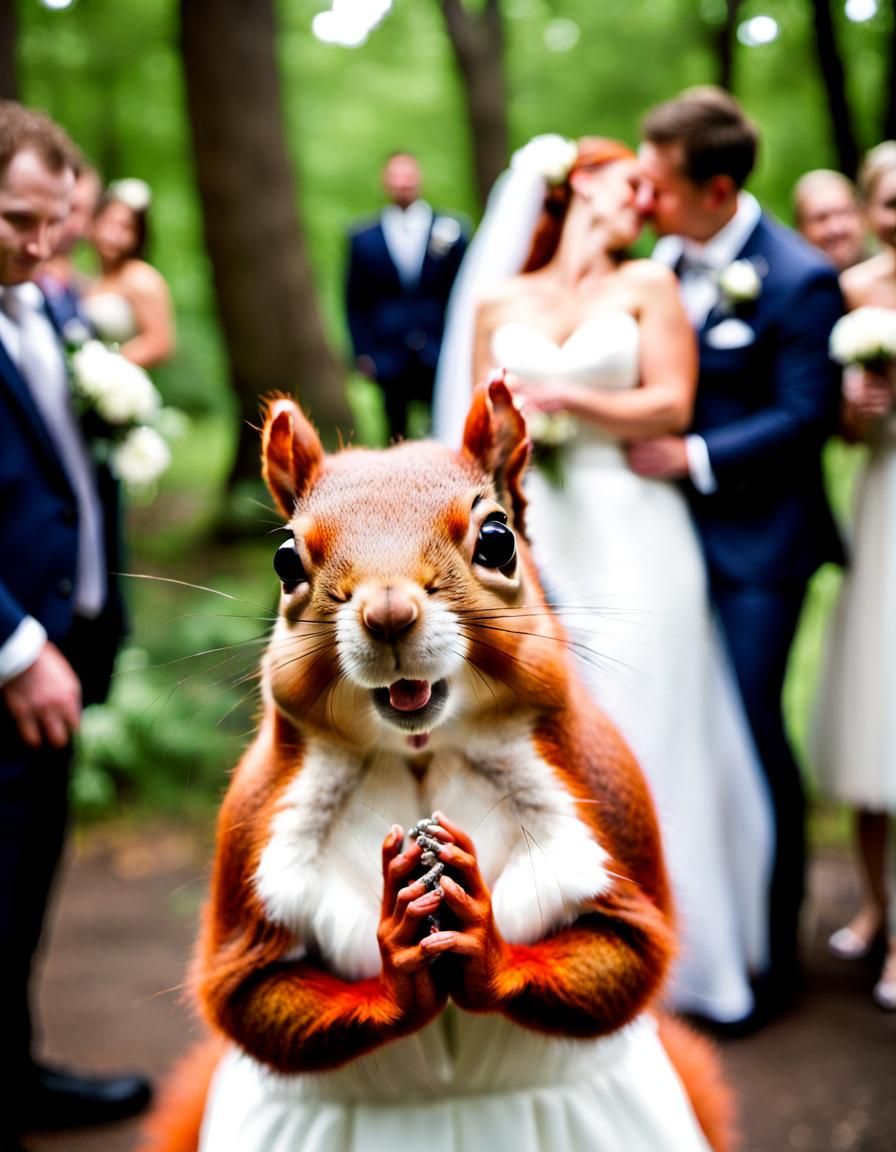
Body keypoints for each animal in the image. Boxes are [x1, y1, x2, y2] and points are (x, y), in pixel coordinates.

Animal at [141, 379, 736, 1152]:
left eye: (498, 539)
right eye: (286, 562)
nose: (390, 611)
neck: (420, 749)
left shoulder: (601, 792)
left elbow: (633, 944)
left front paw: (485, 946)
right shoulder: (253, 829)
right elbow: (243, 987)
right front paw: (397, 966)